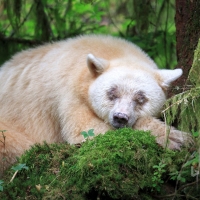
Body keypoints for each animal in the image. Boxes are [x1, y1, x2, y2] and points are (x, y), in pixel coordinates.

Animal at [0, 34, 190, 173]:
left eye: (140, 98)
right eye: (112, 93)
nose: (120, 117)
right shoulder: (70, 92)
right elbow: (85, 130)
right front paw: (173, 138)